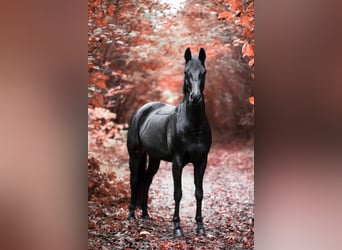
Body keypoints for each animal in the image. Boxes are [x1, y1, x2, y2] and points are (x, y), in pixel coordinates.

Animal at [126, 47, 211, 237]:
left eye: (203, 72)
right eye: (186, 72)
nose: (195, 97)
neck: (193, 125)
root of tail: (141, 111)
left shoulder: (201, 161)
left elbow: (199, 193)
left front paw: (200, 226)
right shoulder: (177, 162)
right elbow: (178, 193)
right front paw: (177, 227)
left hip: (154, 158)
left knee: (146, 181)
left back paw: (145, 215)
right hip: (135, 155)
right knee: (134, 180)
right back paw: (131, 215)